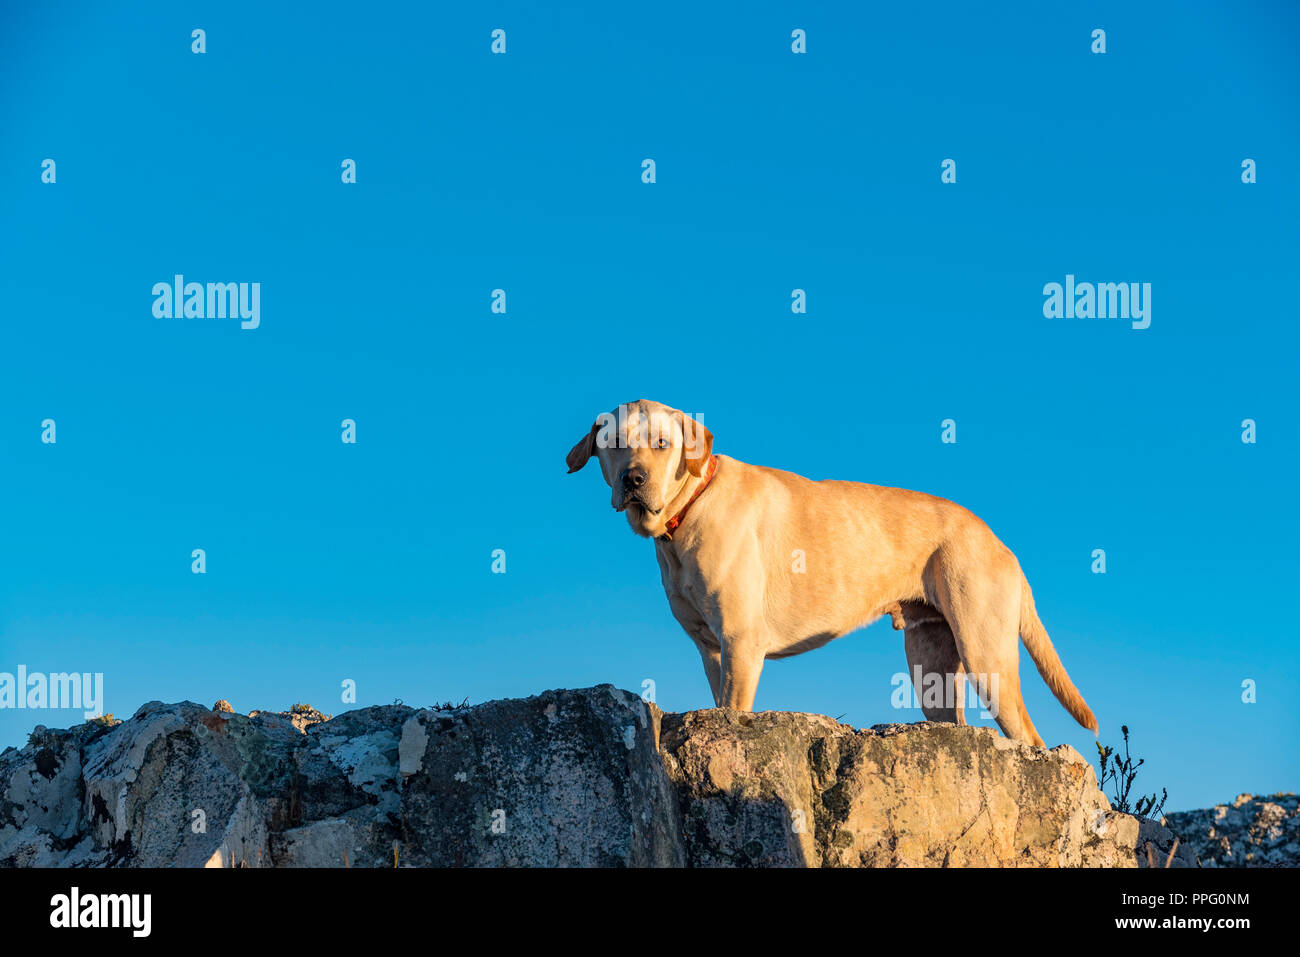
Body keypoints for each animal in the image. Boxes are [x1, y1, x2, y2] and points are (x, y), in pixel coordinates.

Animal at [569, 395, 1097, 748]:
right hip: (932, 670)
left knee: (1032, 739)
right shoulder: (711, 650)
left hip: (987, 655)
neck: (690, 508)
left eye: (662, 444)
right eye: (614, 444)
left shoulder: (740, 642)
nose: (633, 479)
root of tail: (999, 541)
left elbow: (735, 709)